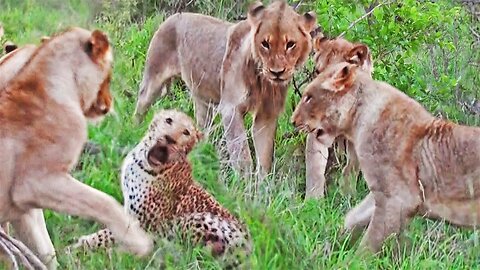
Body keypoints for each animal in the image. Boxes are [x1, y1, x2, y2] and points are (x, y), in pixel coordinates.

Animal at [0, 27, 153, 268]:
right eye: (109, 75)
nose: (109, 103)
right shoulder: (34, 182)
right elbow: (103, 201)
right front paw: (138, 242)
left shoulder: (25, 209)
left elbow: (44, 251)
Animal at [74, 109, 251, 262]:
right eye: (169, 120)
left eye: (186, 132)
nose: (169, 138)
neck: (140, 164)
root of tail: (249, 248)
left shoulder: (143, 222)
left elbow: (109, 233)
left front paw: (83, 243)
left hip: (196, 221)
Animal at [133, 0, 316, 179]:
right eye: (265, 44)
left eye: (290, 44)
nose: (276, 72)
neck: (262, 80)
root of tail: (171, 17)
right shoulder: (230, 108)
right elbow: (242, 153)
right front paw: (243, 182)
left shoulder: (267, 114)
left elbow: (264, 156)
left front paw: (262, 185)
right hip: (152, 81)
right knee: (140, 109)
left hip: (202, 101)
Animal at [290, 60, 480, 253]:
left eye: (308, 97)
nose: (292, 121)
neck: (358, 117)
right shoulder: (382, 190)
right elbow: (354, 217)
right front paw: (331, 245)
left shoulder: (399, 199)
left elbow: (369, 244)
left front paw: (348, 257)